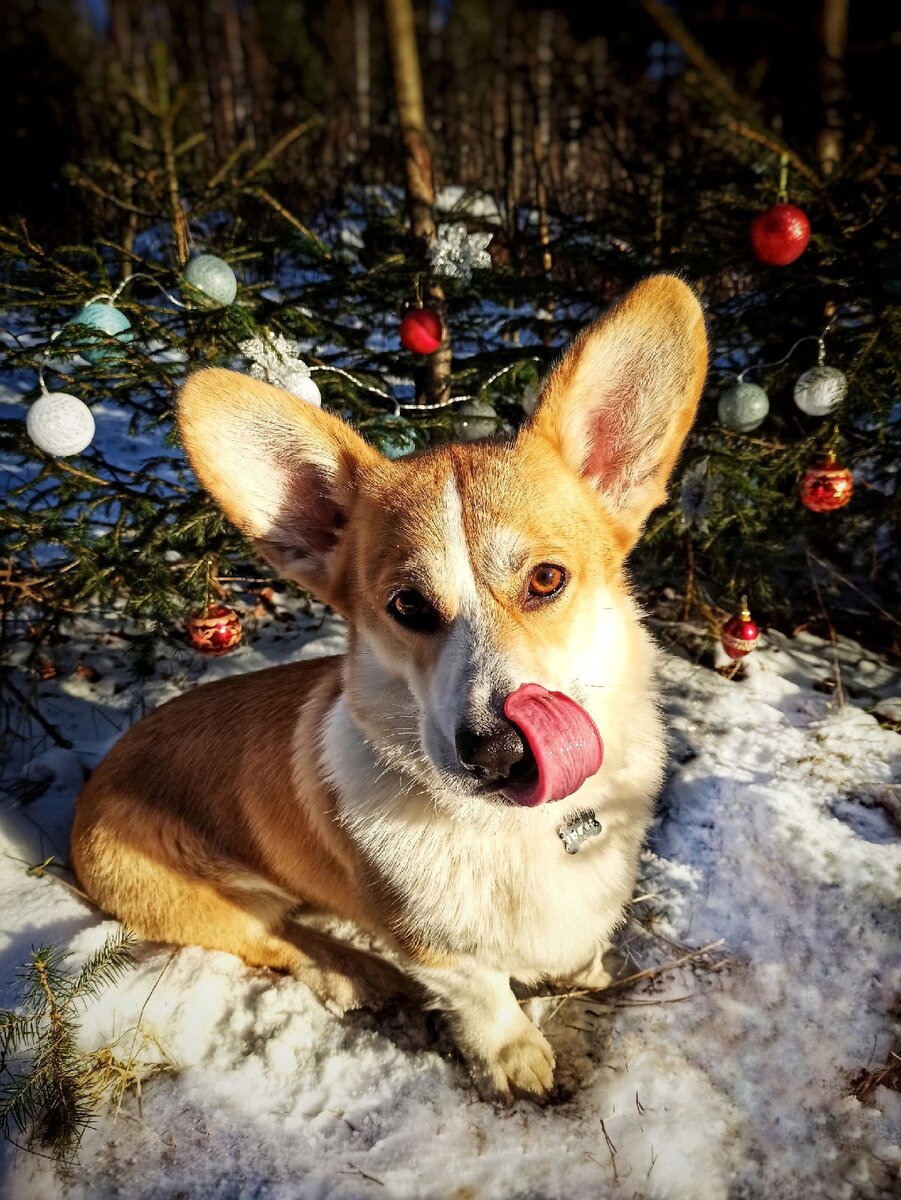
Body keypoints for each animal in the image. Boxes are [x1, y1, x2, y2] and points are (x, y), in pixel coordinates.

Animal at [72, 276, 705, 1099]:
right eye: (407, 605)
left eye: (545, 579)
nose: (499, 754)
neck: (517, 832)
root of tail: (92, 781)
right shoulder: (431, 947)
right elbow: (483, 993)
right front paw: (515, 1056)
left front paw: (588, 972)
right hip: (201, 896)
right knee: (275, 938)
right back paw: (357, 974)